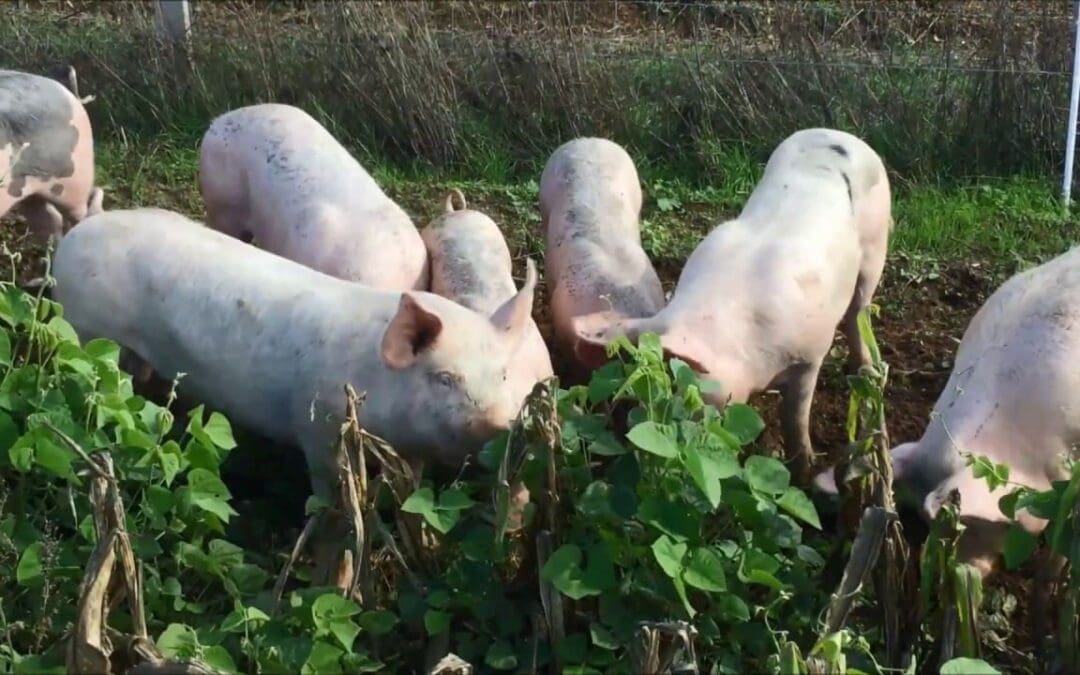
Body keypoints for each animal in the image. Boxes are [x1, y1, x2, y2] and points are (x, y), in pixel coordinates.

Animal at [52, 208, 540, 499]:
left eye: (501, 375)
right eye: (444, 378)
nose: (496, 422)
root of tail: (75, 236)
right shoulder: (319, 425)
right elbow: (328, 486)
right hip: (85, 329)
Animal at [574, 128, 893, 482]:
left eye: (681, 397)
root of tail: (843, 136)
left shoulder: (810, 356)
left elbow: (795, 418)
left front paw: (804, 472)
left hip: (876, 247)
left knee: (858, 311)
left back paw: (864, 368)